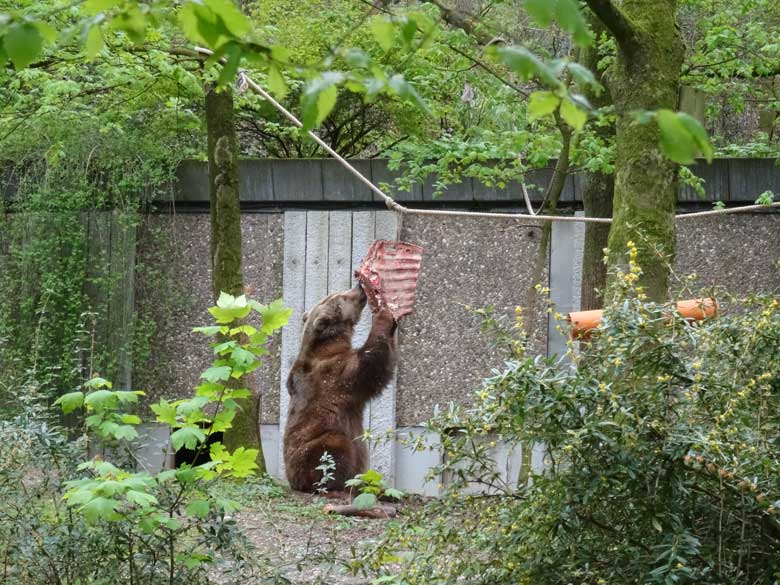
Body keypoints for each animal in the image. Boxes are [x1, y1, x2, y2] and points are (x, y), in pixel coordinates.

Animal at [284, 284, 400, 492]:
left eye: (335, 294)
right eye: (341, 297)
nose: (359, 286)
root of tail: (291, 481)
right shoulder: (335, 374)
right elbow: (372, 365)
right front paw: (384, 315)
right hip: (312, 448)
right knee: (335, 448)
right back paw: (338, 484)